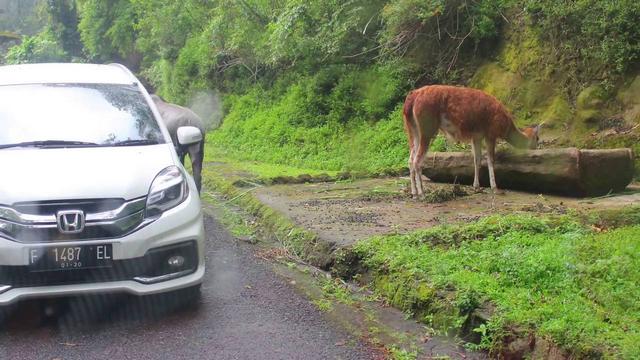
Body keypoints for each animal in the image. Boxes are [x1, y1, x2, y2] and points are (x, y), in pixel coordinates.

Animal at [404, 84, 540, 197]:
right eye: (537, 138)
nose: (536, 147)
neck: (505, 127)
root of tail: (412, 98)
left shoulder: (477, 136)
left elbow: (476, 160)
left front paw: (477, 187)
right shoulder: (490, 133)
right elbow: (490, 160)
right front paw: (495, 188)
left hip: (412, 130)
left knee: (410, 159)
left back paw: (414, 193)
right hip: (427, 128)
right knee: (417, 161)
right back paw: (422, 193)